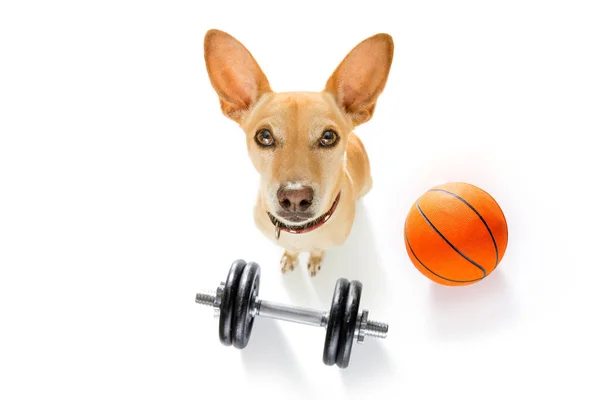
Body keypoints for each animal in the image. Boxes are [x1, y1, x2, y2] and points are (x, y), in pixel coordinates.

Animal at [205, 29, 394, 276]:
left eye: (328, 137)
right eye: (264, 136)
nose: (295, 196)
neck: (300, 233)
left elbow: (318, 249)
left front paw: (314, 259)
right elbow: (291, 250)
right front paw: (290, 256)